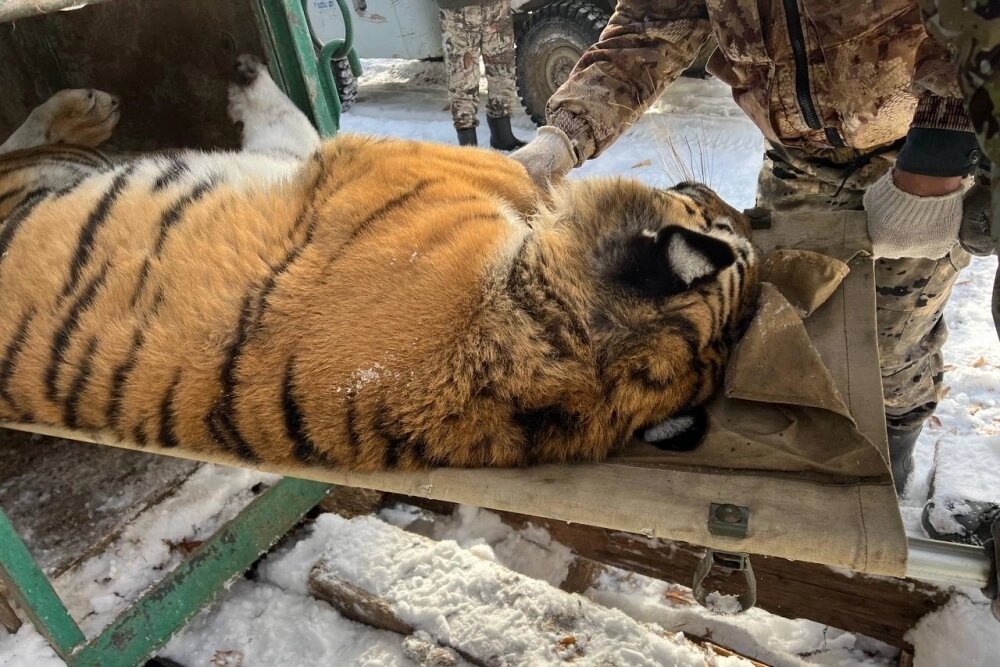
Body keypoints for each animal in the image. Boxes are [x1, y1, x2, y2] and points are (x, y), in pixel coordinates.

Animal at [0, 55, 759, 471]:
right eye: (716, 212)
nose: (744, 211)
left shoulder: (359, 159)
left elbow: (294, 128)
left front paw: (246, 77)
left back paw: (93, 104)